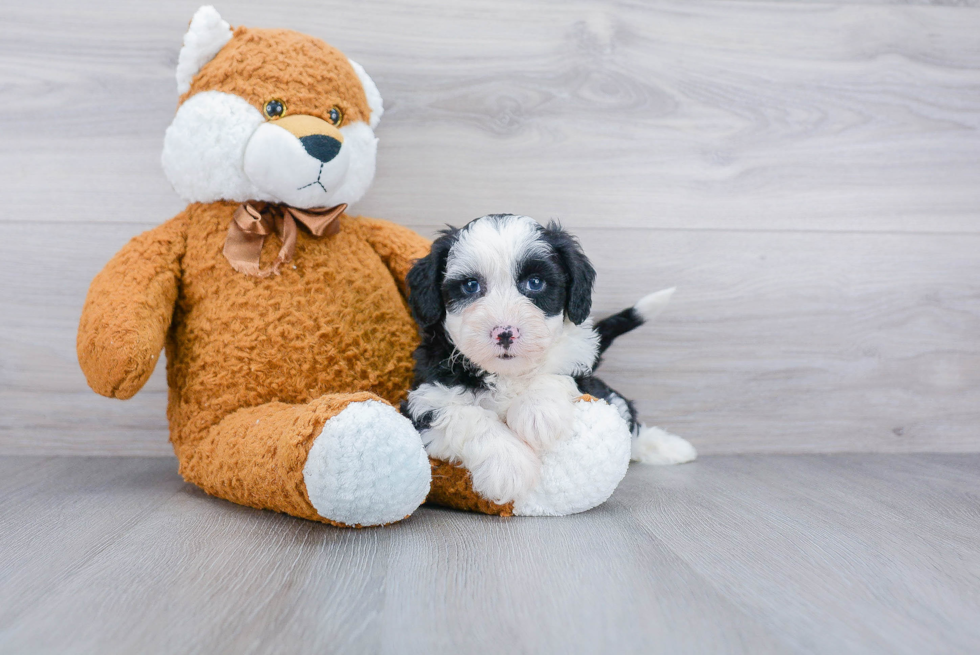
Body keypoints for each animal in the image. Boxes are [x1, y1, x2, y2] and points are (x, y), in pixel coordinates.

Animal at [402, 213, 692, 504]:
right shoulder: (425, 399)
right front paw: (508, 466)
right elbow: (467, 416)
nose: (504, 333)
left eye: (535, 283)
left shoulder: (577, 367)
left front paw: (537, 413)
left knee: (625, 412)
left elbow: (553, 373)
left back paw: (667, 447)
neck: (507, 373)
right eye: (470, 285)